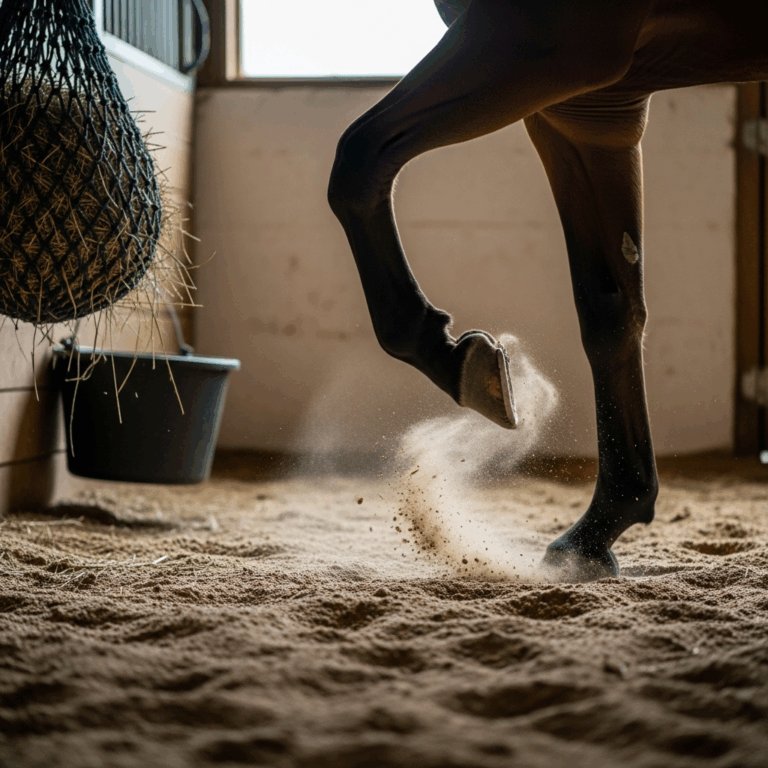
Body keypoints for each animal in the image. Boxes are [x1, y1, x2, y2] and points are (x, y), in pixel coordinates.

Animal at [327, 0, 767, 581]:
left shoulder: (542, 46)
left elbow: (359, 163)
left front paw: (456, 359)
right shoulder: (589, 110)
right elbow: (610, 311)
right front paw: (599, 528)